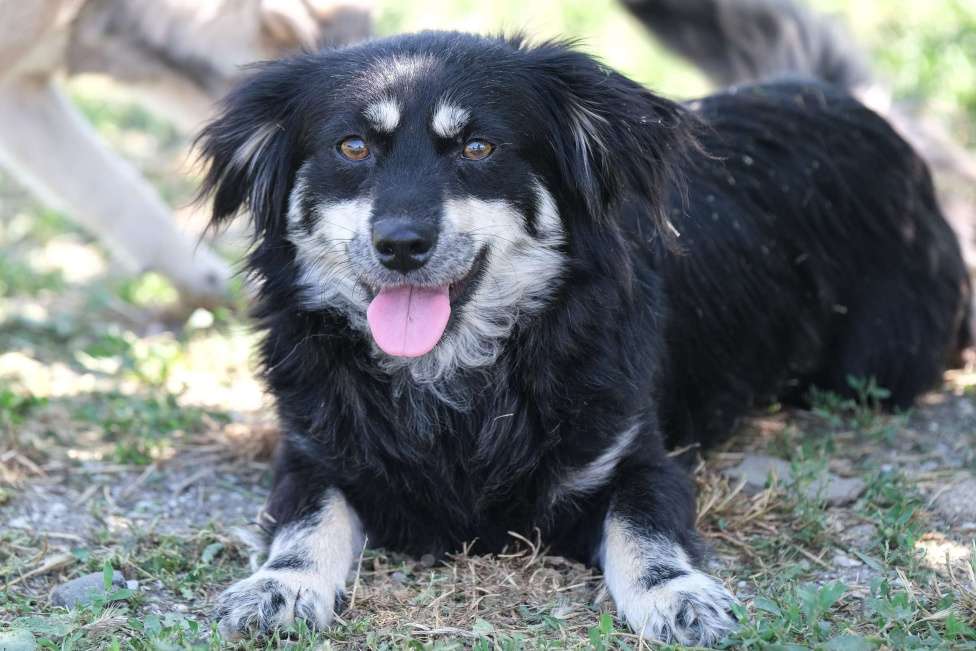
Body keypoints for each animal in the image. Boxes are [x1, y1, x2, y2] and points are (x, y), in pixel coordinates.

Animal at [196, 12, 968, 644]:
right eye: (353, 146)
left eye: (478, 148)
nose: (401, 244)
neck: (454, 384)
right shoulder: (312, 458)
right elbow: (306, 524)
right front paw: (278, 586)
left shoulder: (633, 457)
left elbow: (642, 530)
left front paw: (678, 594)